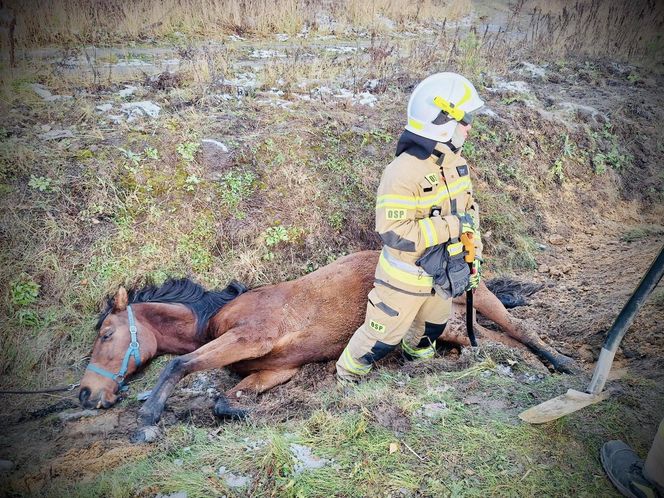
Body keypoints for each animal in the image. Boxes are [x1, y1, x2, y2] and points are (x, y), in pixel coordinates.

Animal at [79, 251, 576, 442]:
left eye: (105, 334)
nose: (86, 394)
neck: (218, 315)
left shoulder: (249, 337)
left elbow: (181, 363)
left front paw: (149, 415)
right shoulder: (275, 370)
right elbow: (225, 398)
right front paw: (244, 412)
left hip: (477, 300)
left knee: (521, 329)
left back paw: (562, 363)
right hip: (448, 324)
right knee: (492, 340)